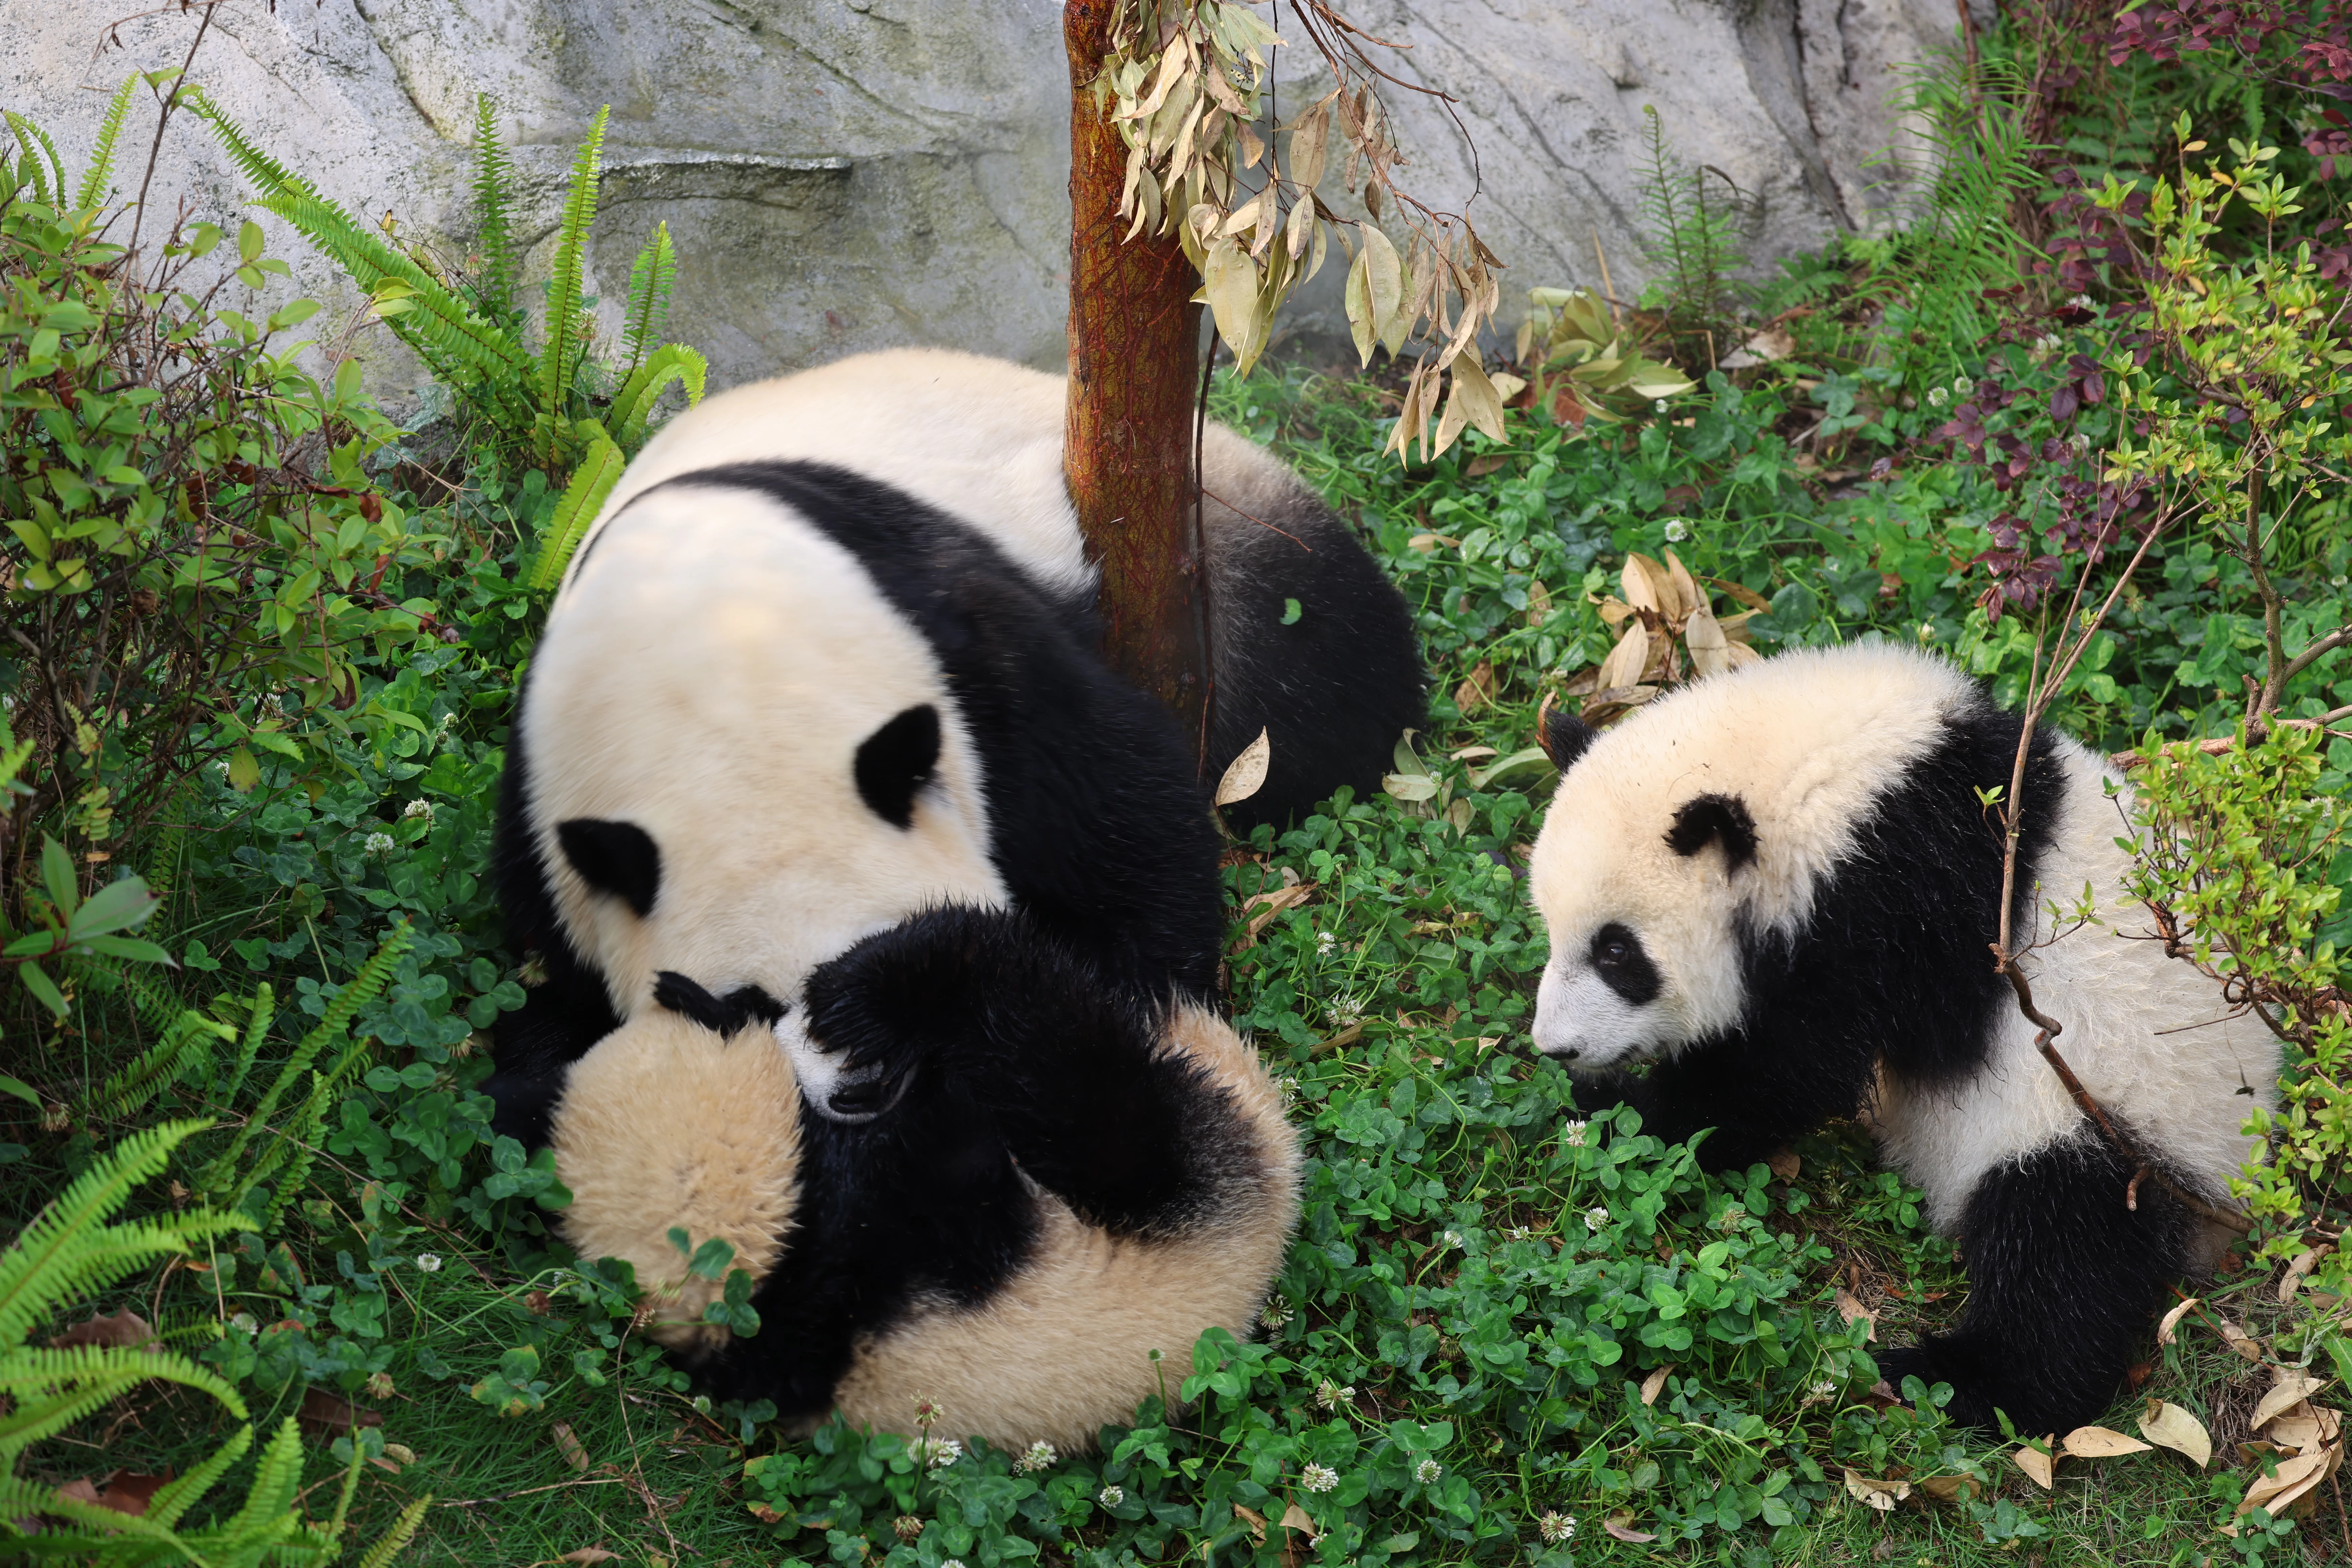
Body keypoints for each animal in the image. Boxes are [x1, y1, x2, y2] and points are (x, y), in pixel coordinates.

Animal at [1523, 641, 2272, 1437]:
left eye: (1617, 953)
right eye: (1552, 928)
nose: (1557, 1046)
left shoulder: (1898, 903)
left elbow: (1790, 1064)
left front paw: (1619, 1114)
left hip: (2120, 1121)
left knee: (2062, 1249)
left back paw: (1956, 1378)